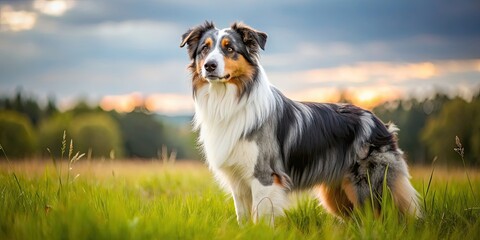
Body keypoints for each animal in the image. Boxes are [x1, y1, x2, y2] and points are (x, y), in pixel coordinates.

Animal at [179, 21, 420, 224]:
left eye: (229, 49)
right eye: (204, 49)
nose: (209, 66)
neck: (227, 100)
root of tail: (381, 124)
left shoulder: (265, 176)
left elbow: (260, 219)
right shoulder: (238, 181)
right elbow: (243, 218)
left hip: (369, 188)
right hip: (338, 195)